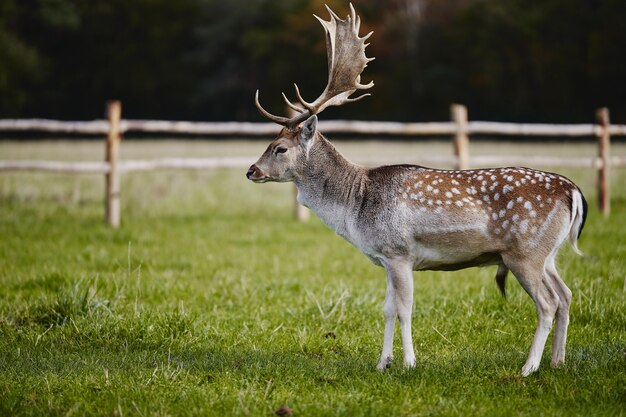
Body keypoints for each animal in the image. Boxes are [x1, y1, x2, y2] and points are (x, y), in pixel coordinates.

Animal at [245, 3, 584, 376]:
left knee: (548, 302)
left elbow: (405, 309)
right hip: (548, 254)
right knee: (566, 295)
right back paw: (558, 361)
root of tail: (573, 191)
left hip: (525, 252)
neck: (355, 205)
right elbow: (387, 309)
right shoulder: (384, 258)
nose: (251, 170)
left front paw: (408, 363)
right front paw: (383, 362)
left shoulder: (399, 252)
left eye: (280, 148)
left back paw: (529, 367)